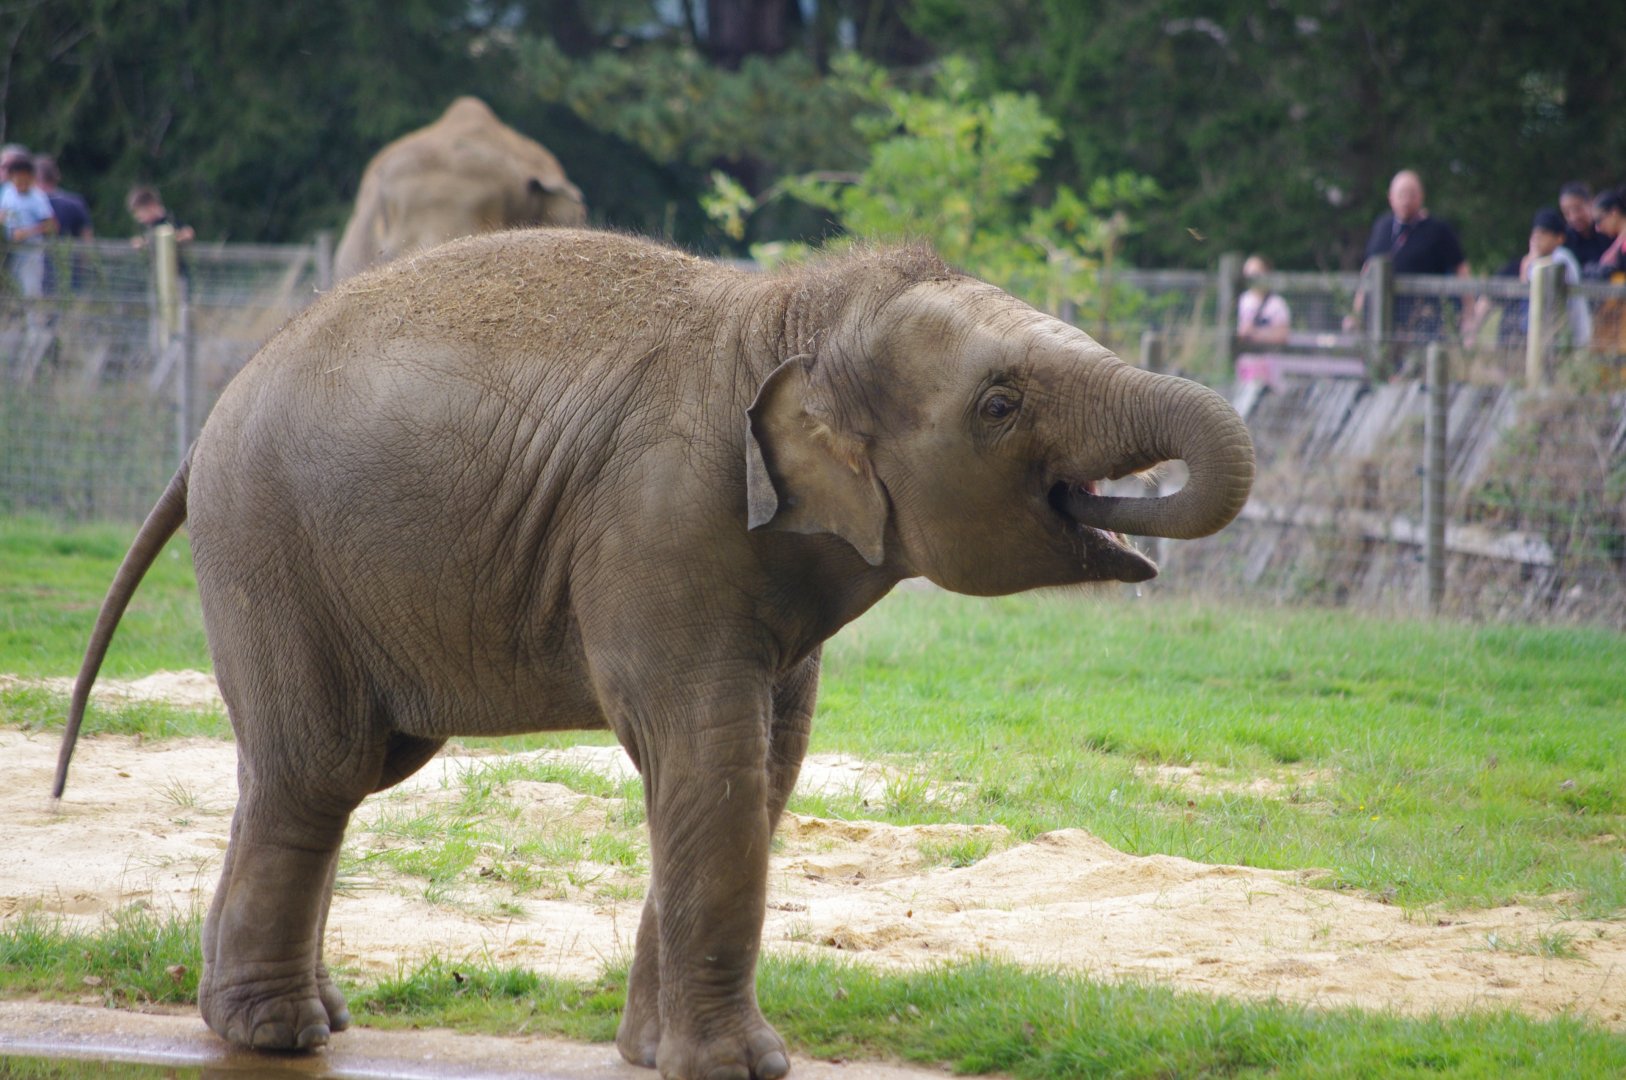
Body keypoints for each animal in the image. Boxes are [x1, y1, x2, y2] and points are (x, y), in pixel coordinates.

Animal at [55, 228, 1253, 1080]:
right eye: (1001, 405)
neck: (797, 314)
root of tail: (207, 424)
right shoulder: (661, 528)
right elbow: (708, 762)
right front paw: (738, 1069)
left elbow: (762, 770)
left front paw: (652, 1056)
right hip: (270, 552)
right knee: (321, 770)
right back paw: (280, 1036)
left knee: (324, 771)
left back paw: (291, 1018)